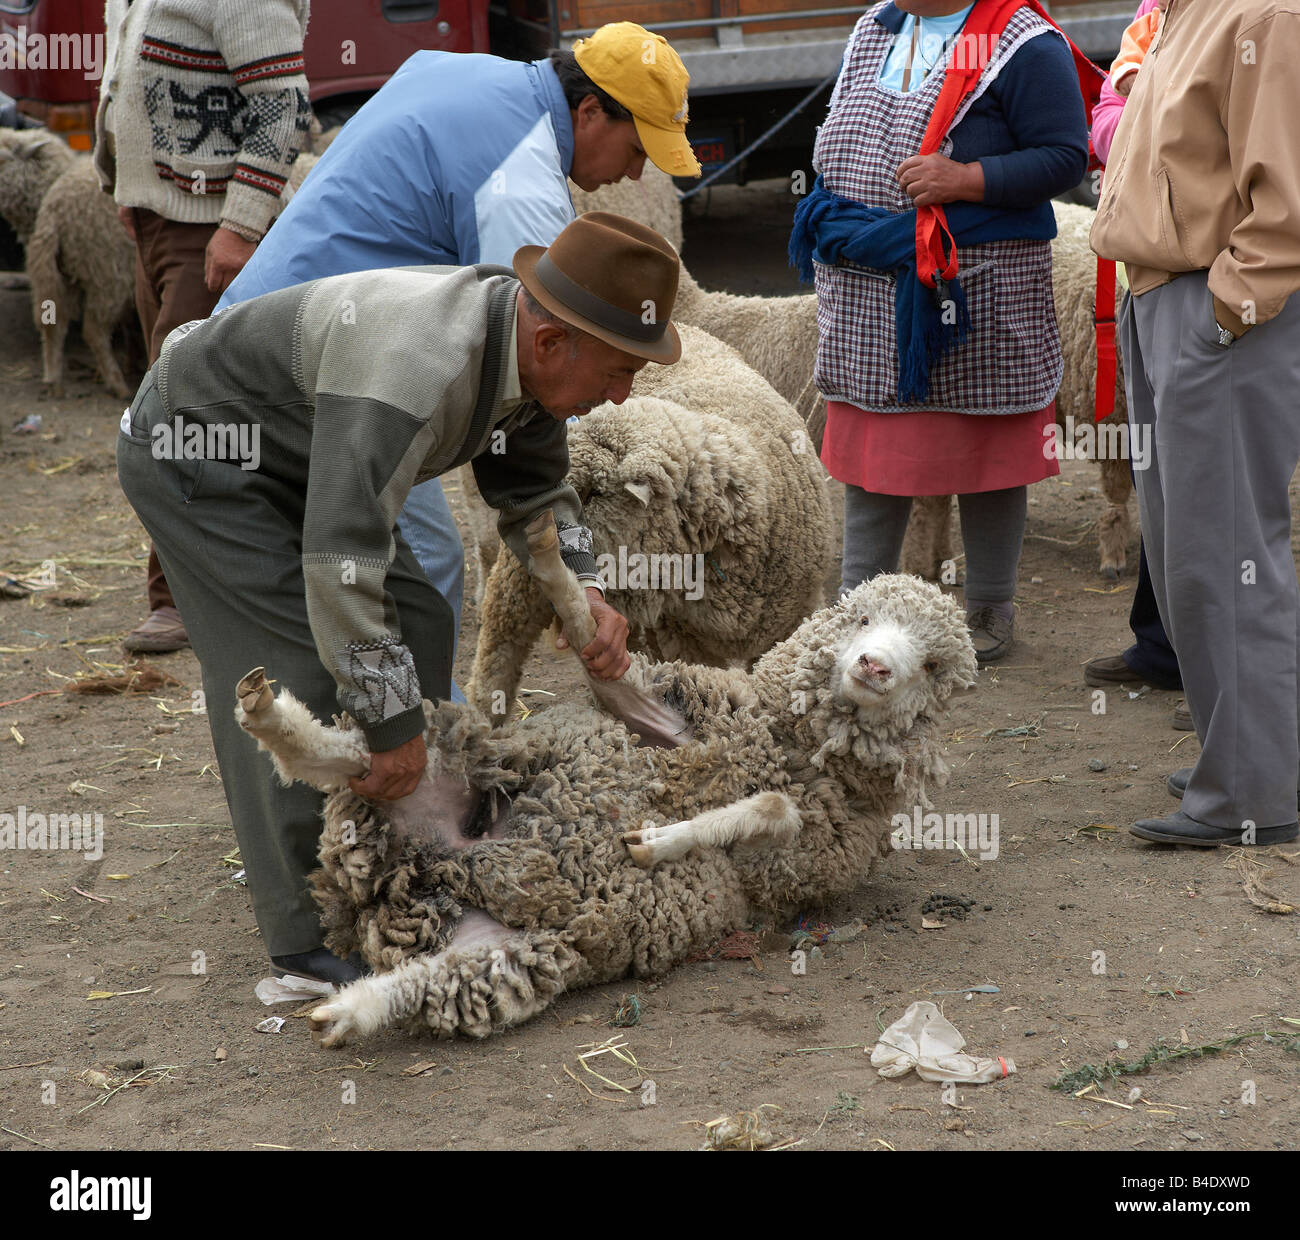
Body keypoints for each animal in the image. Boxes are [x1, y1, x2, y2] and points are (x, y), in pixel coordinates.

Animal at [233, 564, 977, 1045]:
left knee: (427, 978)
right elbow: (601, 656)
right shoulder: (667, 715)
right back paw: (271, 717)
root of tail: (421, 875)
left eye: (933, 666)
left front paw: (662, 840)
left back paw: (348, 1011)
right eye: (864, 616)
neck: (788, 743)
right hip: (464, 762)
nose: (875, 666)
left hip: (510, 956)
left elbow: (770, 808)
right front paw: (562, 576)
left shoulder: (804, 869)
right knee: (349, 760)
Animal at [467, 323, 832, 722]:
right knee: (502, 630)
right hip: (520, 577)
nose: (551, 503)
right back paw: (484, 712)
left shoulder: (788, 621)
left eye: (593, 492)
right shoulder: (682, 638)